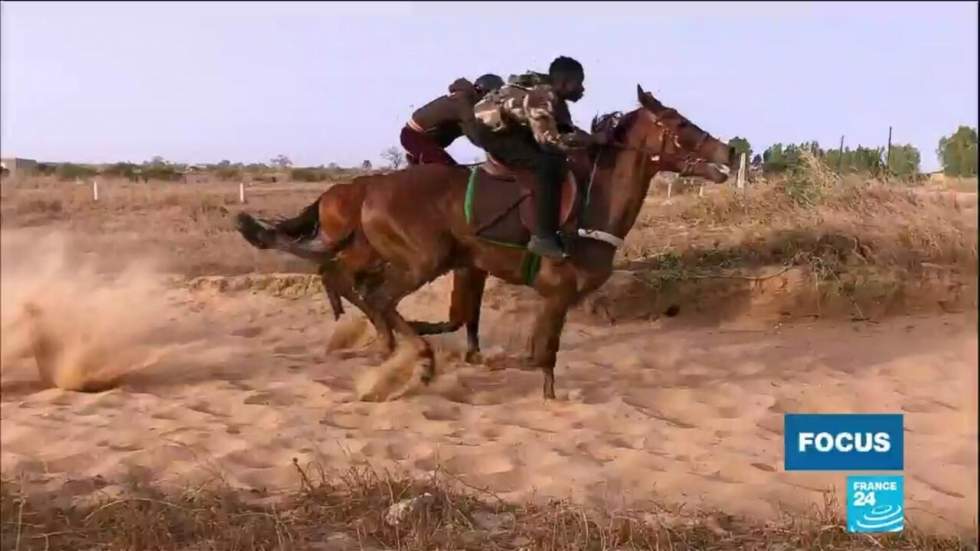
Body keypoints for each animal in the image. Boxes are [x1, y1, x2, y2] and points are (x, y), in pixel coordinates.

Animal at [237, 84, 732, 398]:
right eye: (679, 124)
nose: (727, 152)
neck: (593, 203)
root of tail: (367, 191)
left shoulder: (530, 287)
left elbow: (532, 351)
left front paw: (546, 395)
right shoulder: (556, 290)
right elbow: (535, 354)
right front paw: (484, 362)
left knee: (356, 286)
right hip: (422, 258)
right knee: (372, 294)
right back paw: (413, 359)